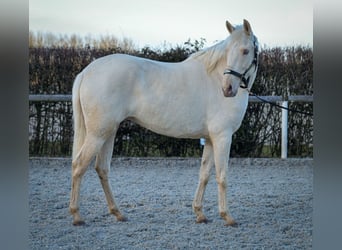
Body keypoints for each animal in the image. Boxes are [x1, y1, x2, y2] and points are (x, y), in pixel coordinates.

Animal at [70, 19, 260, 227]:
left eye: (245, 51)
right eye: (229, 50)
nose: (227, 89)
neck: (214, 78)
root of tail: (86, 72)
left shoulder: (211, 139)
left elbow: (204, 175)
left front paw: (200, 214)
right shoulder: (223, 137)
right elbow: (222, 176)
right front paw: (227, 216)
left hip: (108, 132)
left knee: (102, 169)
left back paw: (118, 213)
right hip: (98, 134)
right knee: (79, 165)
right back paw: (77, 216)